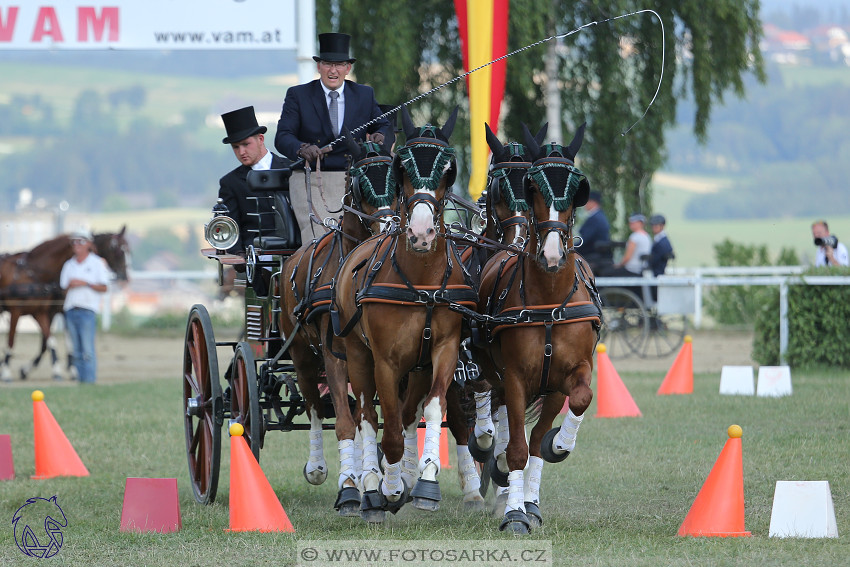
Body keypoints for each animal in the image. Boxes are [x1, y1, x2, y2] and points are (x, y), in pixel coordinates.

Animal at [0, 229, 129, 384]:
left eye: (128, 250)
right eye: (117, 250)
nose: (125, 277)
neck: (33, 274)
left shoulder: (45, 312)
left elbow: (52, 341)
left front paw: (64, 370)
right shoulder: (17, 311)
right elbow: (12, 340)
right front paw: (8, 371)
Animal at [278, 135, 398, 516]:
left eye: (396, 176)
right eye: (361, 183)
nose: (389, 225)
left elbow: (364, 418)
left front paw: (365, 480)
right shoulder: (334, 355)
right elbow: (344, 421)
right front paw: (347, 488)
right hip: (301, 354)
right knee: (314, 407)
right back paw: (318, 467)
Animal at [474, 122, 600, 536]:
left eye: (577, 191)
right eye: (534, 188)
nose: (552, 255)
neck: (548, 303)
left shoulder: (566, 377)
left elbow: (564, 416)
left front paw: (558, 446)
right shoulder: (514, 376)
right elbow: (515, 448)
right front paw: (514, 513)